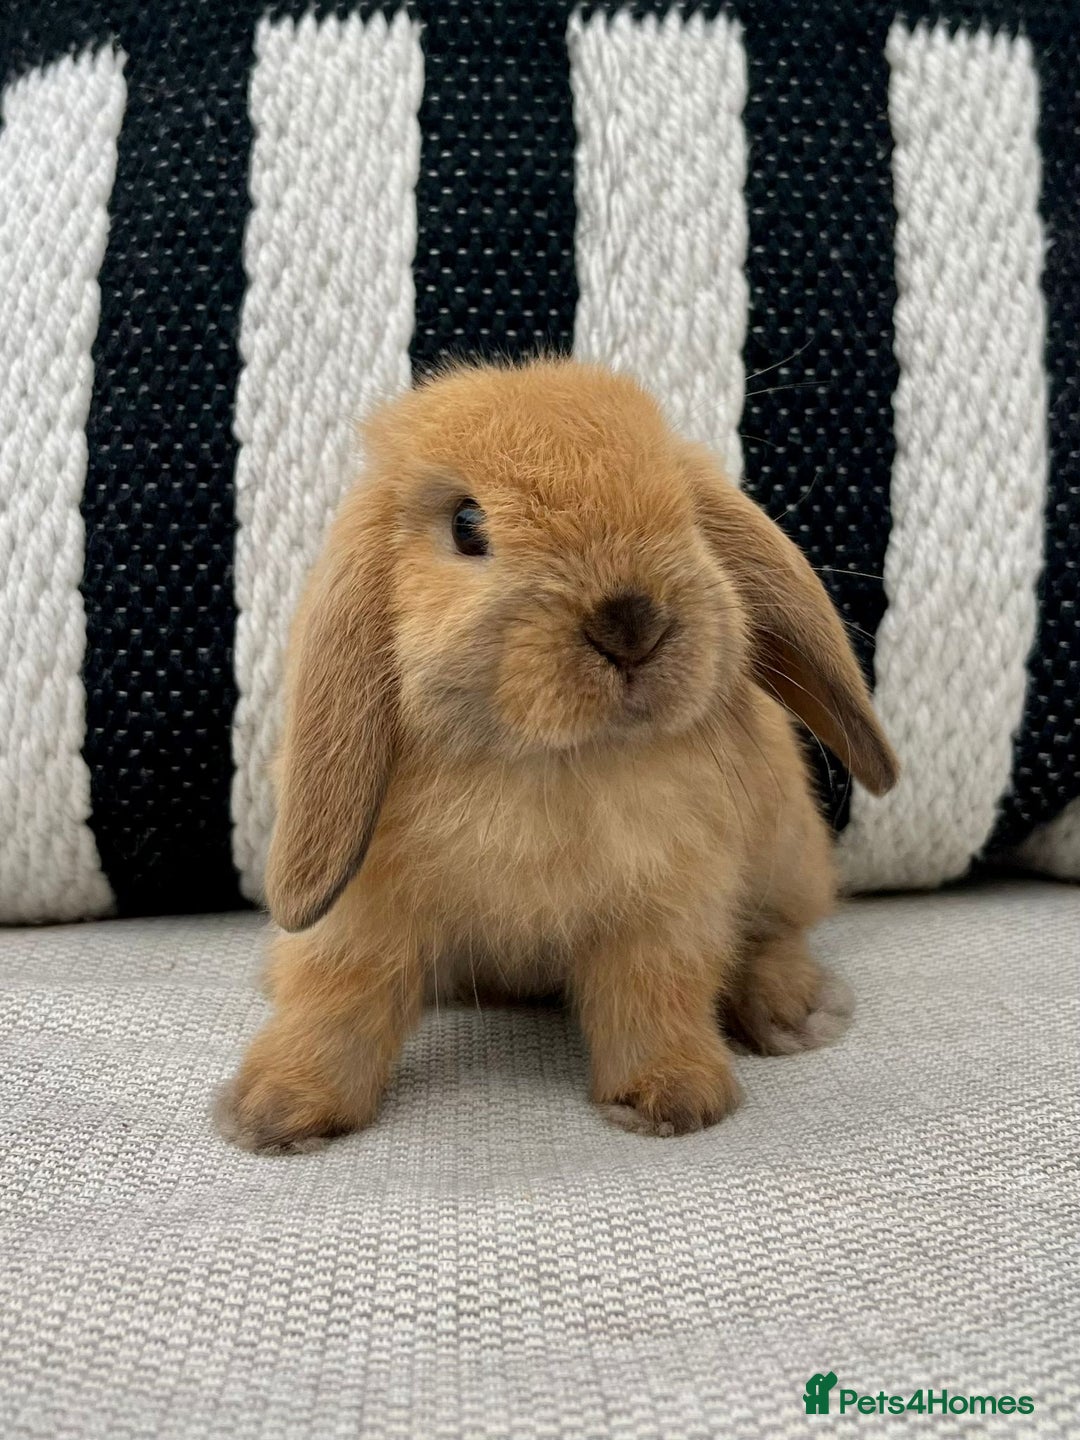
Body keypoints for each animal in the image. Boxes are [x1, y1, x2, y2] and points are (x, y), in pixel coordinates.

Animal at [215, 359, 898, 1152]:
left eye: (685, 509)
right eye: (467, 525)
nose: (632, 622)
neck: (544, 760)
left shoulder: (665, 907)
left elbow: (654, 997)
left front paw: (671, 1100)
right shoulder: (364, 914)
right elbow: (339, 997)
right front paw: (276, 1112)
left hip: (786, 860)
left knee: (778, 934)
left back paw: (797, 1012)